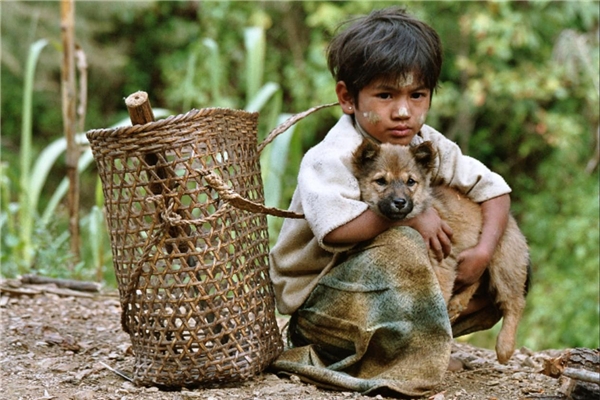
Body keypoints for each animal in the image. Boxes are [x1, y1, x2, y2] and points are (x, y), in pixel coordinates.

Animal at [352, 139, 528, 364]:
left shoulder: (441, 268)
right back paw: (459, 303)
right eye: (381, 181)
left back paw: (505, 346)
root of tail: (512, 219)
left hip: (504, 265)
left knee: (515, 302)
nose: (400, 203)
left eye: (411, 182)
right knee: (478, 279)